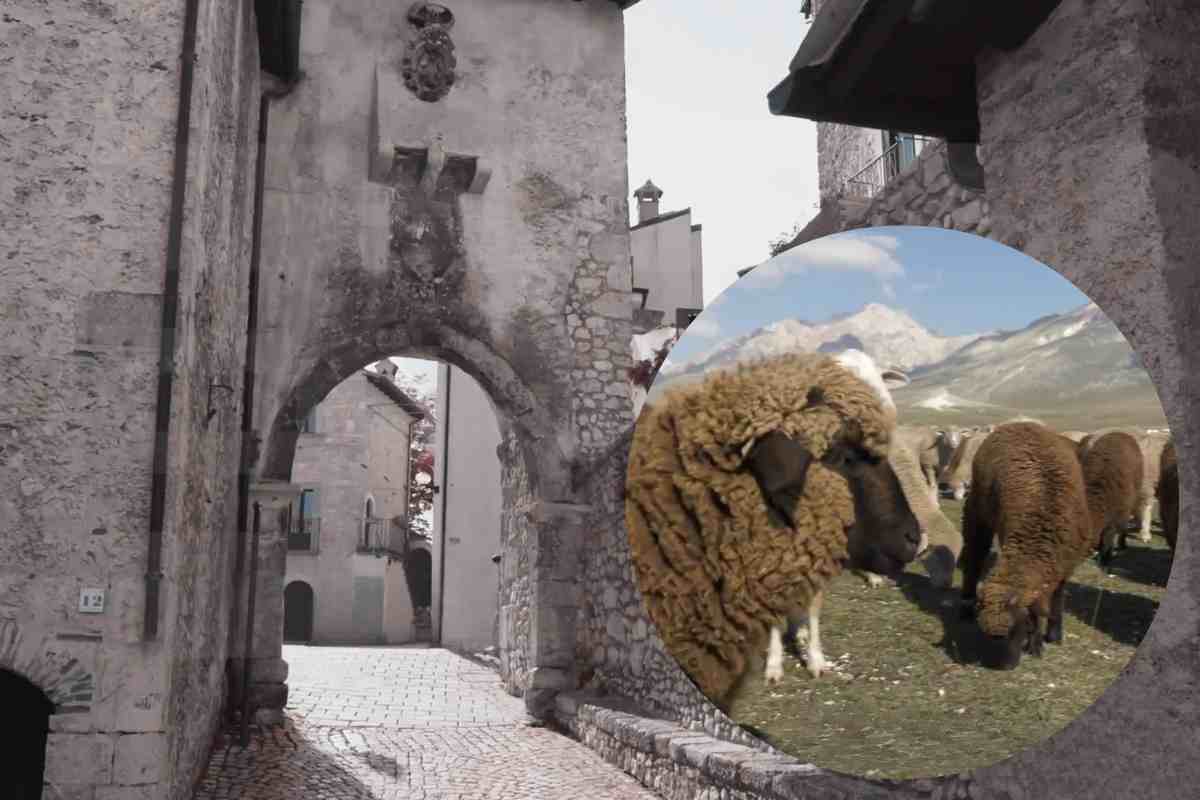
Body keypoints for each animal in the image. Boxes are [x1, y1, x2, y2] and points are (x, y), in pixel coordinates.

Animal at [959, 422, 1094, 670]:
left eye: (1017, 629)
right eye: (992, 638)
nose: (1006, 667)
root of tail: (1017, 423)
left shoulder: (1065, 565)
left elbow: (1054, 599)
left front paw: (1050, 635)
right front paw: (1037, 642)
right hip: (978, 511)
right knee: (974, 557)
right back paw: (966, 603)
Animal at [1079, 431, 1145, 567]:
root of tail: (1120, 433)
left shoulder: (1116, 513)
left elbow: (1108, 536)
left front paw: (1105, 558)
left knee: (1123, 526)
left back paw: (1122, 544)